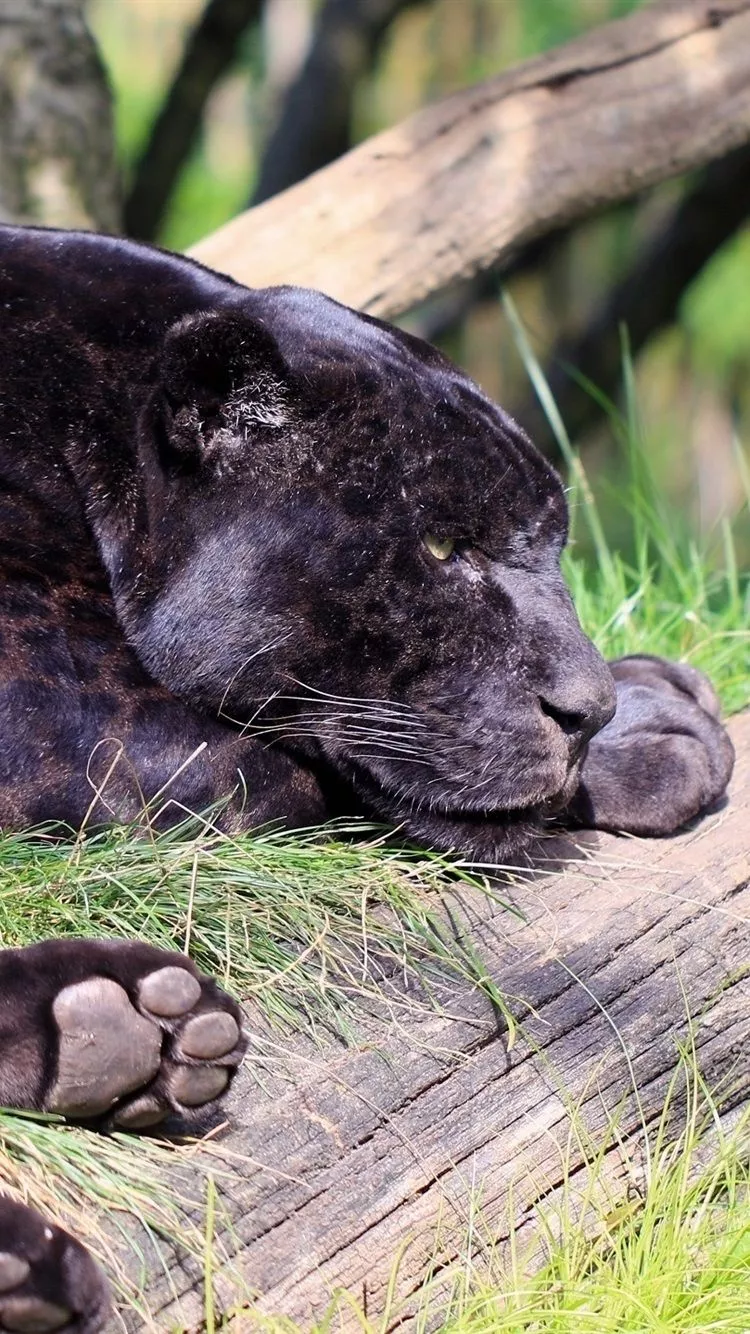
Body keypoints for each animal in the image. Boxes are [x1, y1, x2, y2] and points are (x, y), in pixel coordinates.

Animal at [0, 224, 734, 1330]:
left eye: (554, 545)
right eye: (441, 546)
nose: (588, 706)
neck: (87, 430)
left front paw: (657, 691)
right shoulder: (64, 706)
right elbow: (326, 775)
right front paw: (665, 730)